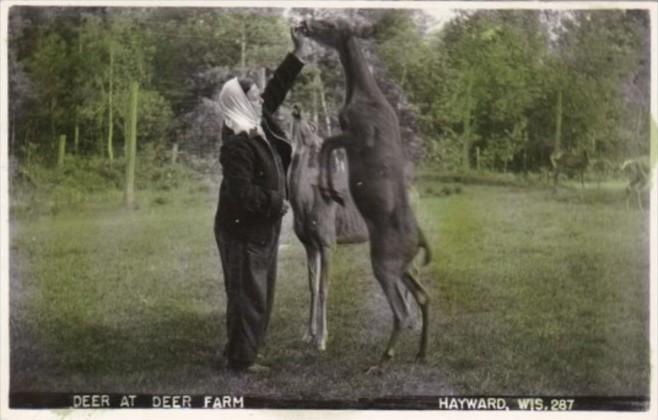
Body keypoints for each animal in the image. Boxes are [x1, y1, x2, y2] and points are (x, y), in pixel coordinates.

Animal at [300, 18, 434, 372]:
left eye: (327, 23)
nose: (304, 23)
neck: (364, 93)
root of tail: (420, 239)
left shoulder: (357, 134)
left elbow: (326, 145)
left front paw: (330, 190)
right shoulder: (348, 135)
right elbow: (326, 146)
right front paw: (329, 188)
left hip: (384, 261)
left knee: (401, 310)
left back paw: (382, 359)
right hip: (401, 265)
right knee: (423, 296)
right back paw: (419, 353)